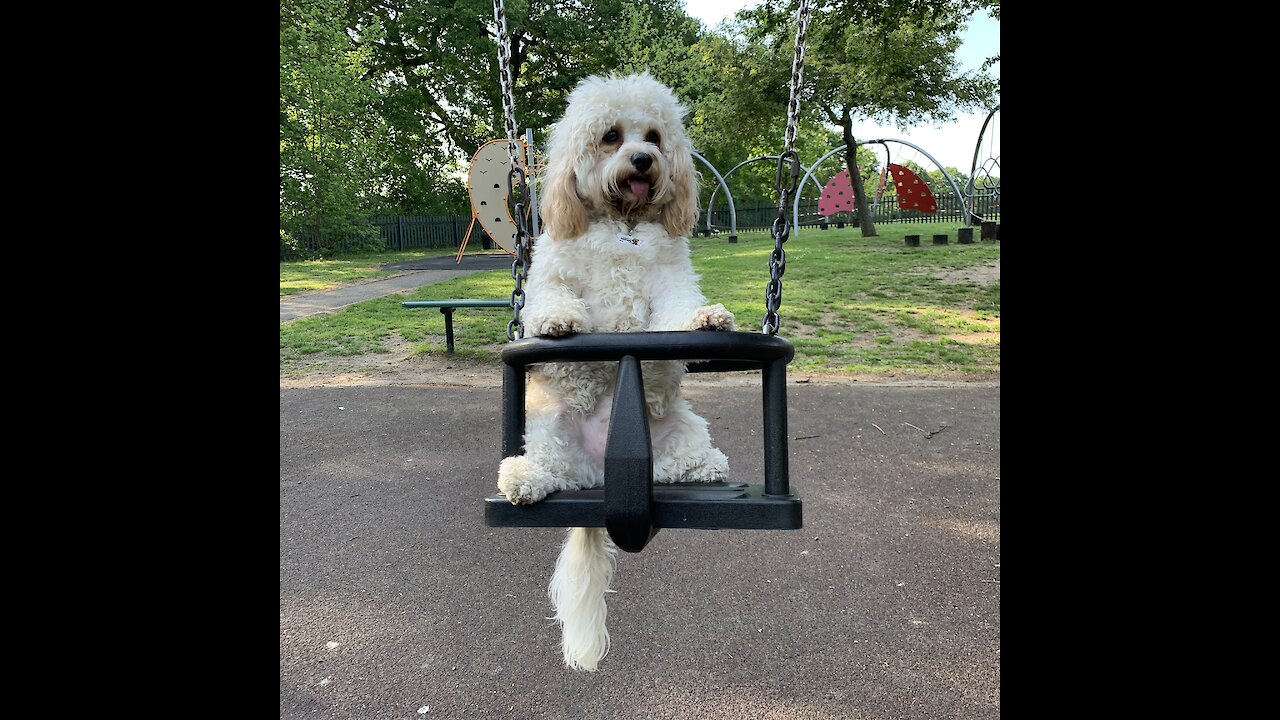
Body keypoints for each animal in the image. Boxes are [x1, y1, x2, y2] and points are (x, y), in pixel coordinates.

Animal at [499, 71, 742, 666]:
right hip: (549, 429)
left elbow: (678, 308)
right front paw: (559, 322)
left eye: (653, 136)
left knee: (678, 465)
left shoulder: (669, 281)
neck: (621, 225)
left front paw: (708, 317)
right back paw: (520, 478)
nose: (642, 161)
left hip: (680, 429)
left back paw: (704, 468)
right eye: (610, 136)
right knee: (548, 471)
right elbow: (551, 299)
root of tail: (606, 473)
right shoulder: (553, 274)